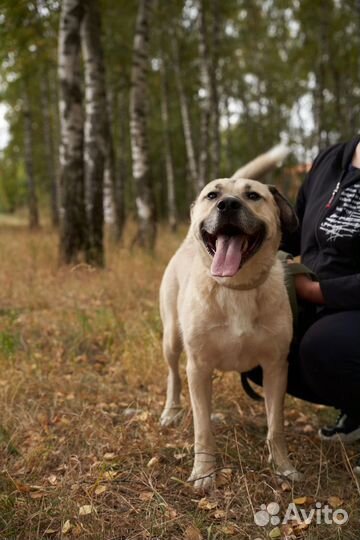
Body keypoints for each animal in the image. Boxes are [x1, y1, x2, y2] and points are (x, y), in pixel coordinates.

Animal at [159, 172, 302, 490]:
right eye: (212, 195)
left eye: (253, 196)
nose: (227, 205)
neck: (237, 288)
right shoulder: (198, 367)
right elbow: (202, 430)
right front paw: (203, 472)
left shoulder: (276, 367)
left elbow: (276, 426)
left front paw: (283, 467)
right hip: (171, 339)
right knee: (173, 375)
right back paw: (171, 412)